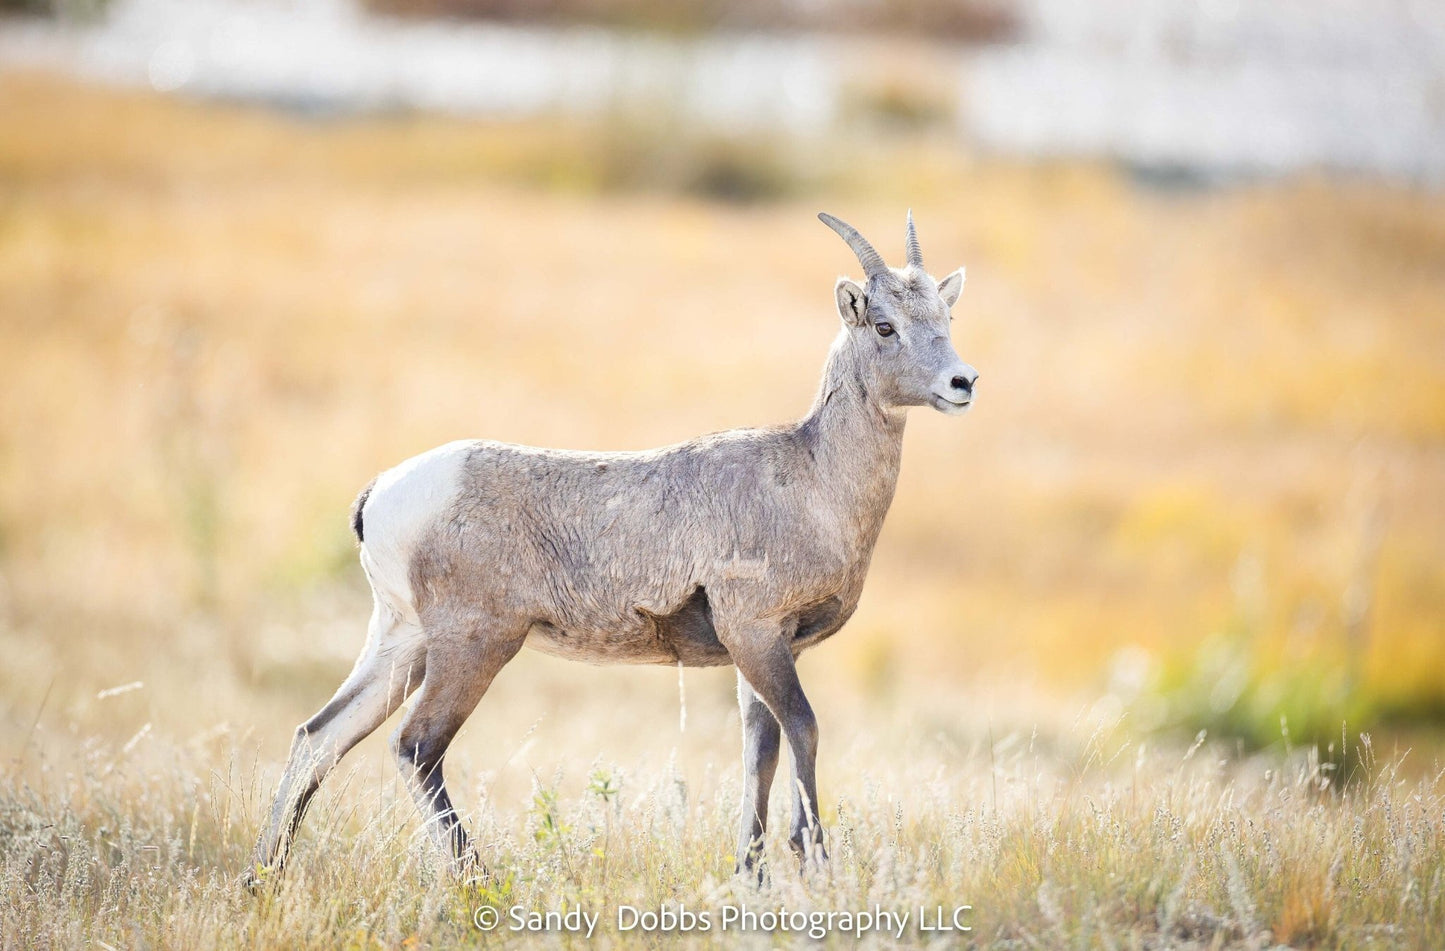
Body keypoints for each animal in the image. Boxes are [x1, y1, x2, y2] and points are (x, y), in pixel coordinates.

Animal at [246, 211, 978, 888]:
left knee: (319, 737)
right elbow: (802, 728)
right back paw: (477, 875)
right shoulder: (758, 634)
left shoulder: (766, 651)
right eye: (884, 325)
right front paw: (814, 863)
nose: (962, 382)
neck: (813, 481)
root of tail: (381, 495)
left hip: (401, 643)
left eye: (943, 316)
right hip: (472, 645)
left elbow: (760, 747)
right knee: (416, 745)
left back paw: (264, 876)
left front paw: (751, 874)